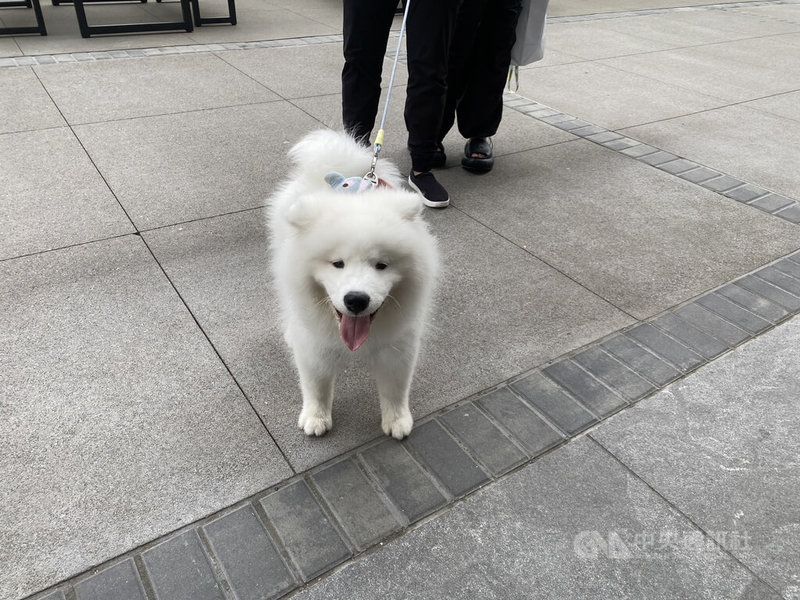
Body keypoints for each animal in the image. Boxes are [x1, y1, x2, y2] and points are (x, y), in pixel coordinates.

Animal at [268, 130, 438, 440]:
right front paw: (316, 418)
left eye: (381, 265)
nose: (356, 299)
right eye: (338, 263)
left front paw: (397, 421)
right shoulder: (315, 346)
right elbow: (316, 384)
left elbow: (396, 388)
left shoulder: (399, 345)